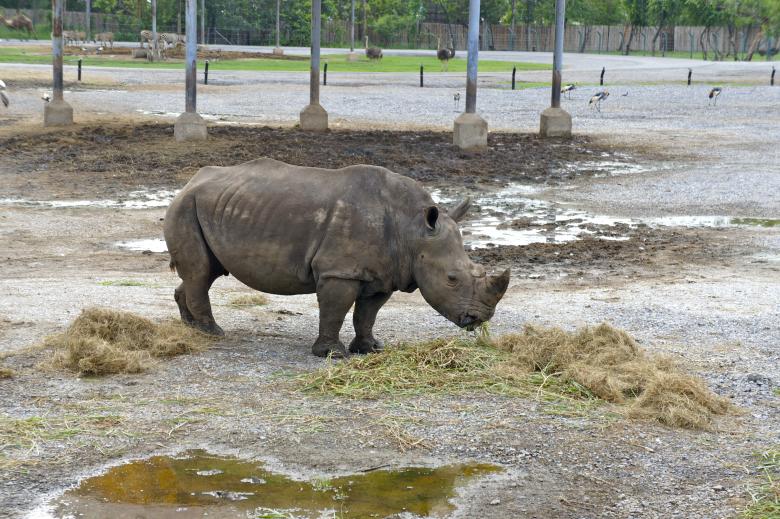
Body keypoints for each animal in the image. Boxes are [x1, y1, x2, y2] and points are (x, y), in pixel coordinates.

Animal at [164, 158, 510, 357]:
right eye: (451, 279)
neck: (412, 230)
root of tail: (189, 182)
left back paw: (191, 328)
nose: (480, 319)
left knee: (204, 272)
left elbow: (367, 314)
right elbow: (336, 310)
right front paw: (331, 354)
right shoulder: (340, 270)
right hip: (185, 206)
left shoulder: (383, 274)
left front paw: (370, 349)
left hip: (207, 205)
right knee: (200, 272)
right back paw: (213, 333)